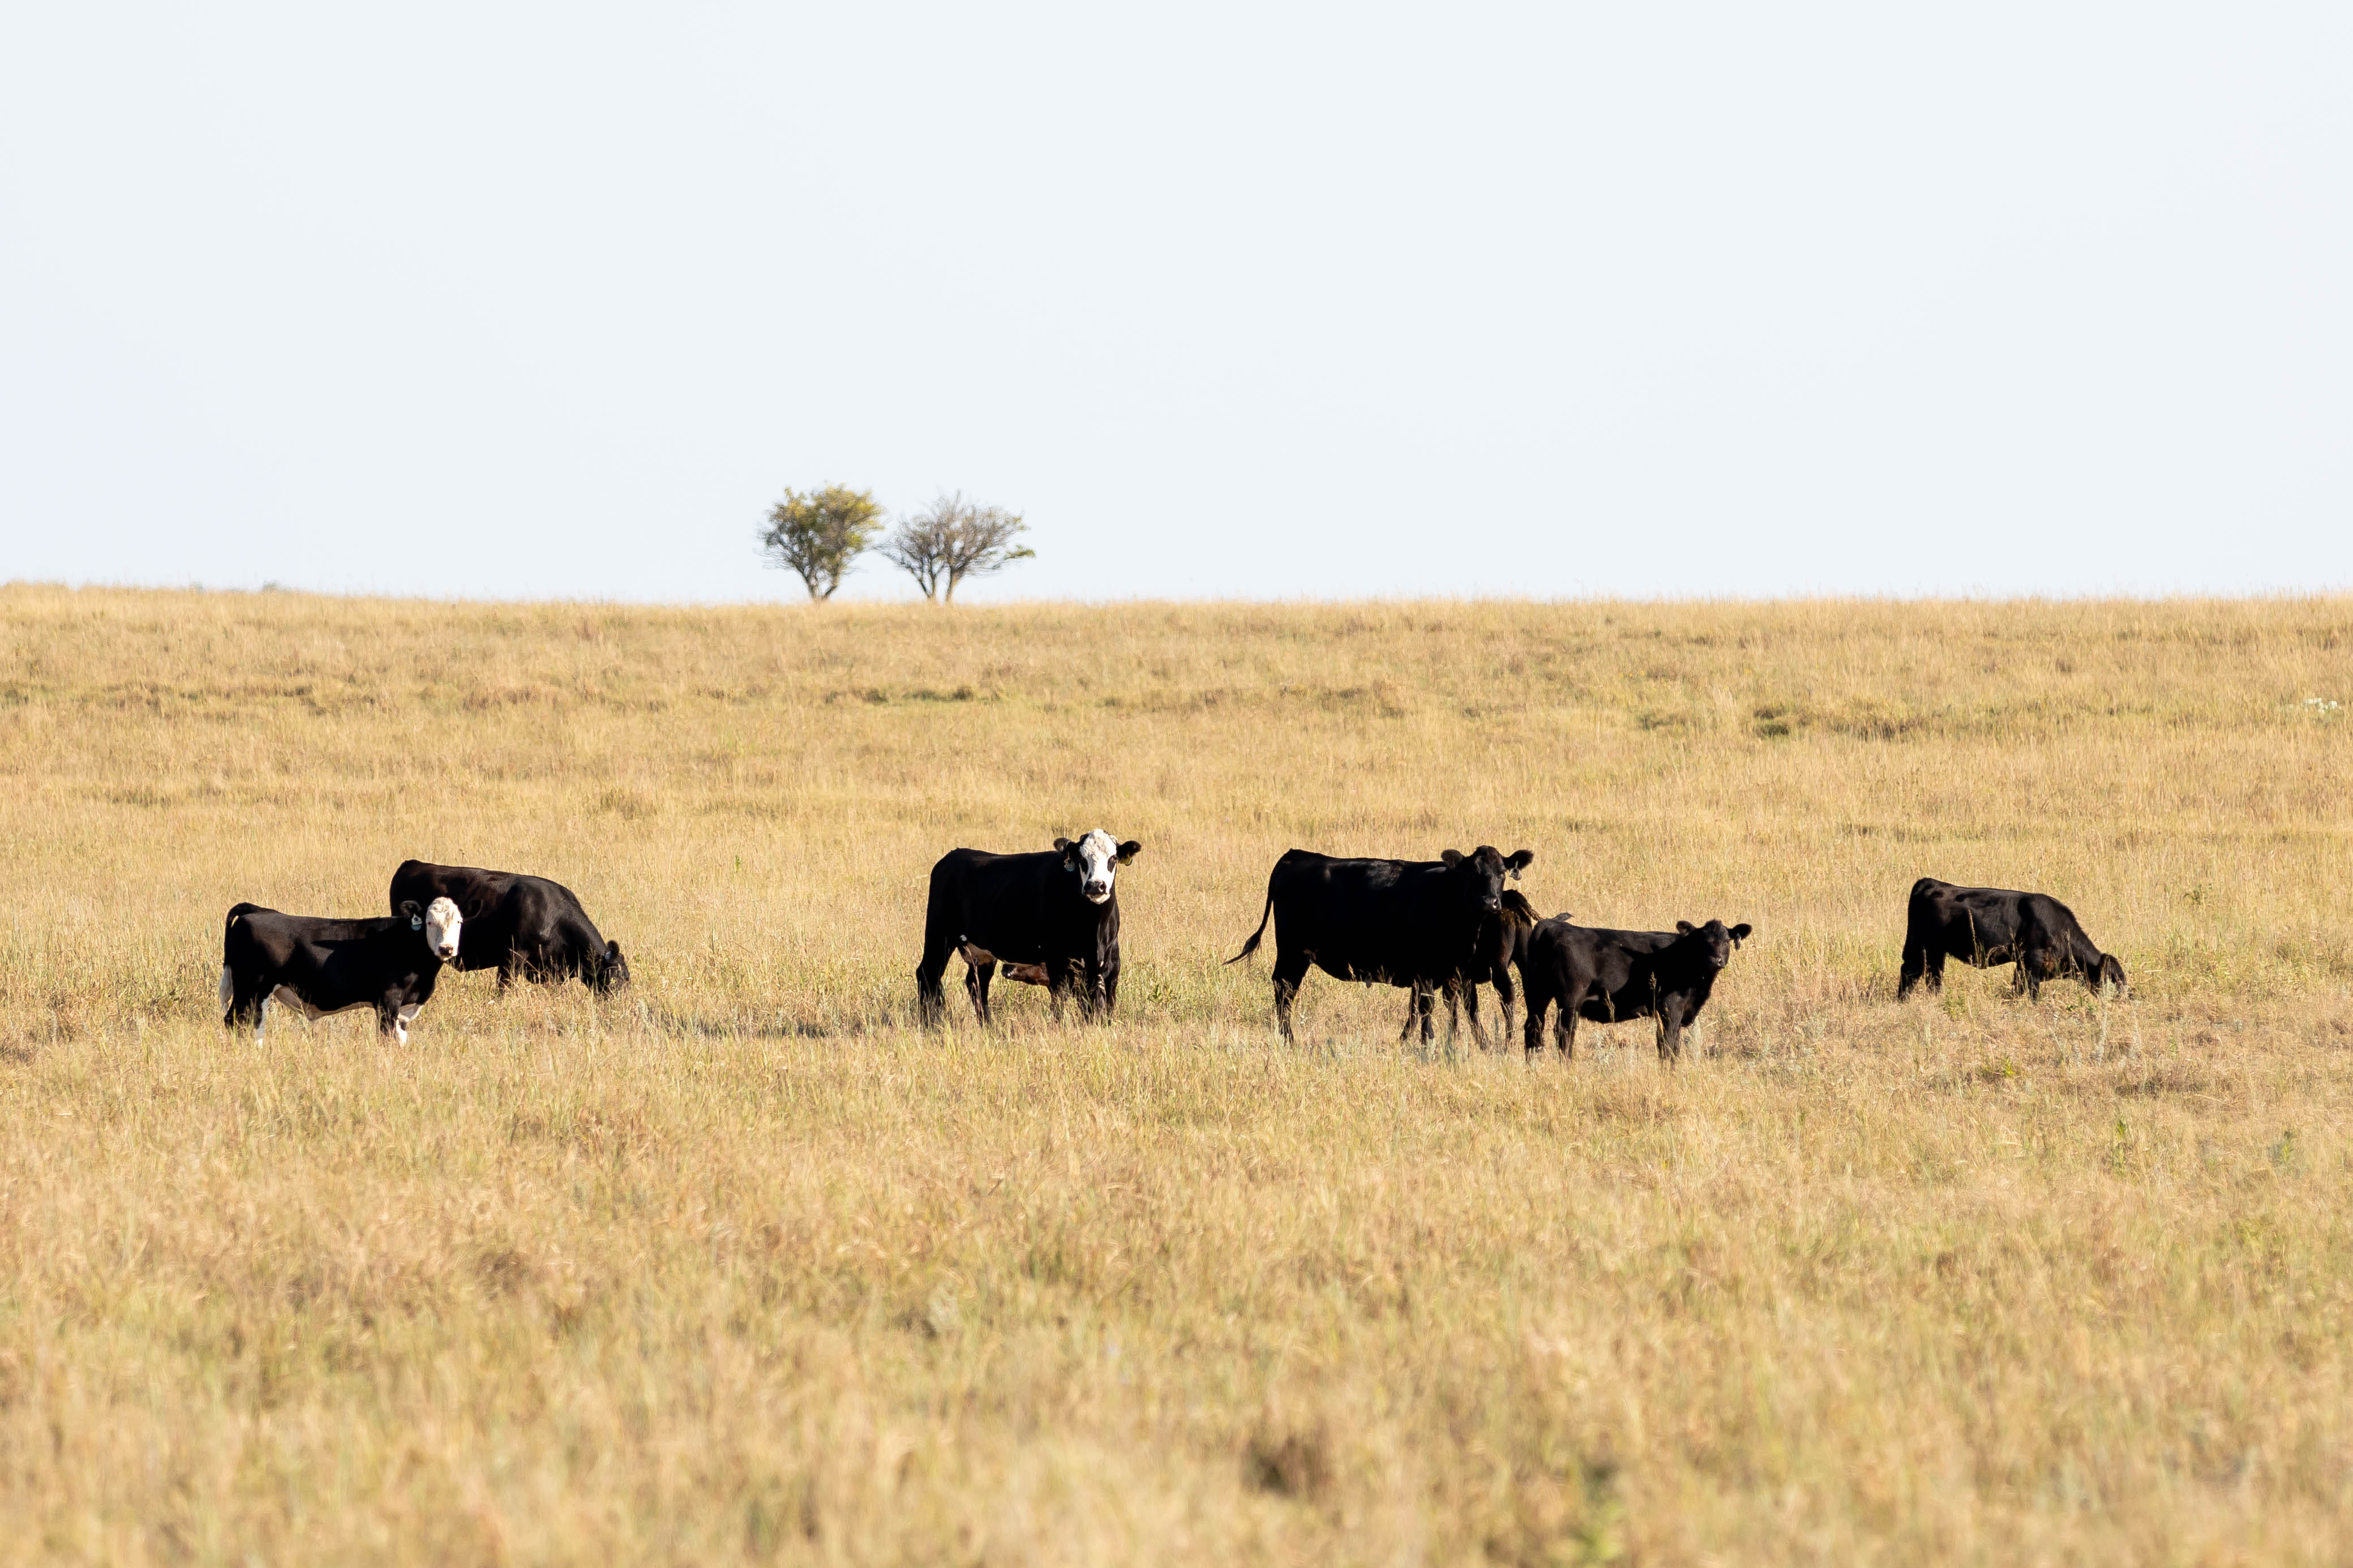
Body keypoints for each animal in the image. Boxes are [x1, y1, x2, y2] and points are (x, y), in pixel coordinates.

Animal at [220, 897, 463, 1044]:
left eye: (459, 922)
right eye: (429, 922)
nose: (446, 948)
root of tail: (259, 911)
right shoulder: (388, 999)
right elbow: (387, 1036)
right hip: (252, 989)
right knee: (240, 1023)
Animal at [915, 830, 1141, 1026]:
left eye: (1113, 858)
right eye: (1081, 860)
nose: (1095, 886)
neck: (1094, 930)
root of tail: (954, 856)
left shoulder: (1109, 965)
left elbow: (1102, 1004)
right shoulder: (1056, 959)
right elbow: (1060, 1000)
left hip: (982, 953)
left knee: (977, 985)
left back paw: (989, 1027)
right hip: (939, 936)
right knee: (928, 976)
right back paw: (930, 1025)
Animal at [1517, 916, 1753, 1061]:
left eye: (1726, 941)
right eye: (1702, 942)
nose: (1717, 960)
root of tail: (1552, 925)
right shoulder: (1671, 1007)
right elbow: (1669, 1044)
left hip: (1536, 993)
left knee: (1534, 1028)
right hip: (1571, 999)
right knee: (1564, 1032)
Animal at [1896, 878, 2125, 1000]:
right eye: (2114, 979)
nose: (2126, 997)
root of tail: (1932, 883)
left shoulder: (2023, 964)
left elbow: (2018, 989)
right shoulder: (2032, 961)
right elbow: (2032, 991)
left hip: (1935, 951)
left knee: (1930, 976)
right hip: (1924, 946)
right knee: (1912, 972)